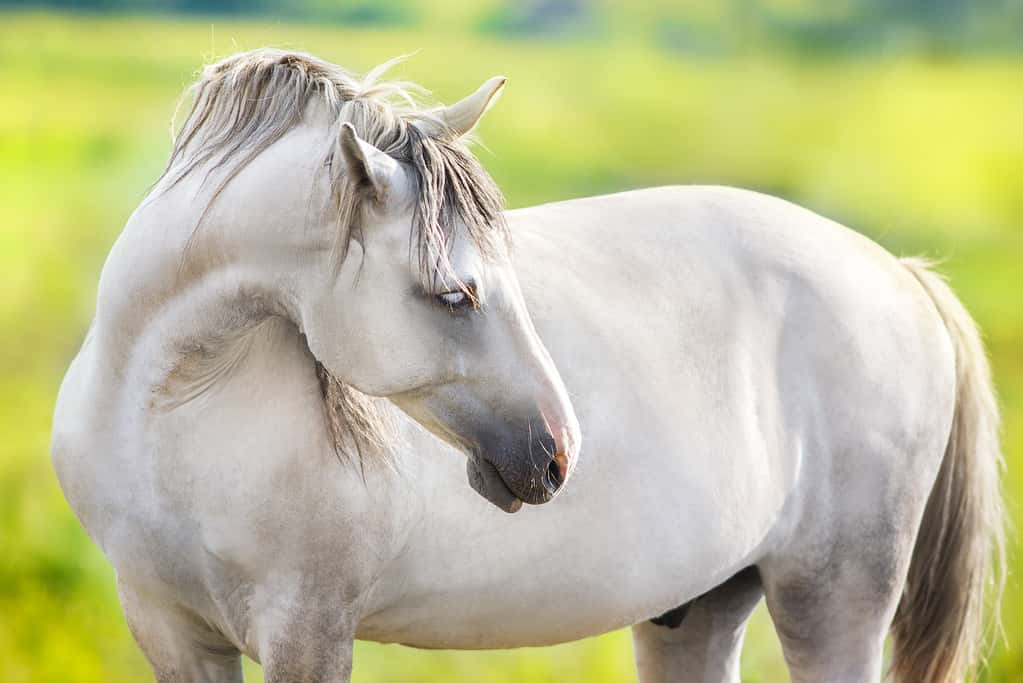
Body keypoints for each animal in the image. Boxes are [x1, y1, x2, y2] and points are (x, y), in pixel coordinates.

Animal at [52, 49, 1005, 683]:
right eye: (453, 293)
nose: (556, 452)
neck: (165, 413)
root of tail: (899, 275)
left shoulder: (306, 629)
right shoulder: (171, 627)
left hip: (833, 600)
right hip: (697, 610)